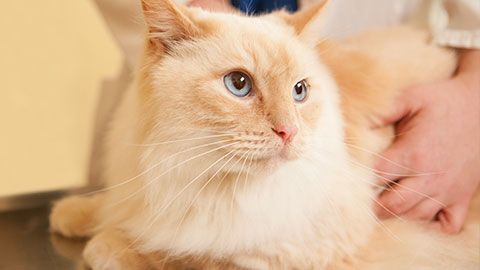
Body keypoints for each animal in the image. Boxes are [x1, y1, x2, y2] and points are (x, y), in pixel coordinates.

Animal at [50, 1, 478, 268]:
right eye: (239, 84)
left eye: (299, 91)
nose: (289, 131)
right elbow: (111, 206)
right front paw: (73, 214)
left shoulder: (294, 250)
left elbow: (181, 253)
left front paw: (106, 244)